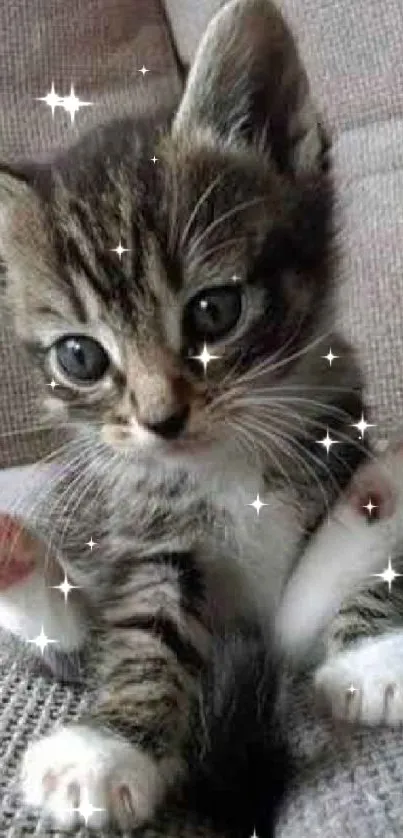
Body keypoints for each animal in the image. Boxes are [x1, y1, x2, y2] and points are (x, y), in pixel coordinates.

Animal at [0, 0, 398, 832]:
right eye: (80, 357)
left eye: (214, 312)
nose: (161, 420)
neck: (226, 462)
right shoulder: (147, 531)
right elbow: (142, 623)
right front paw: (107, 748)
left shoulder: (338, 432)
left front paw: (374, 649)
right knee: (77, 634)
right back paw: (18, 561)